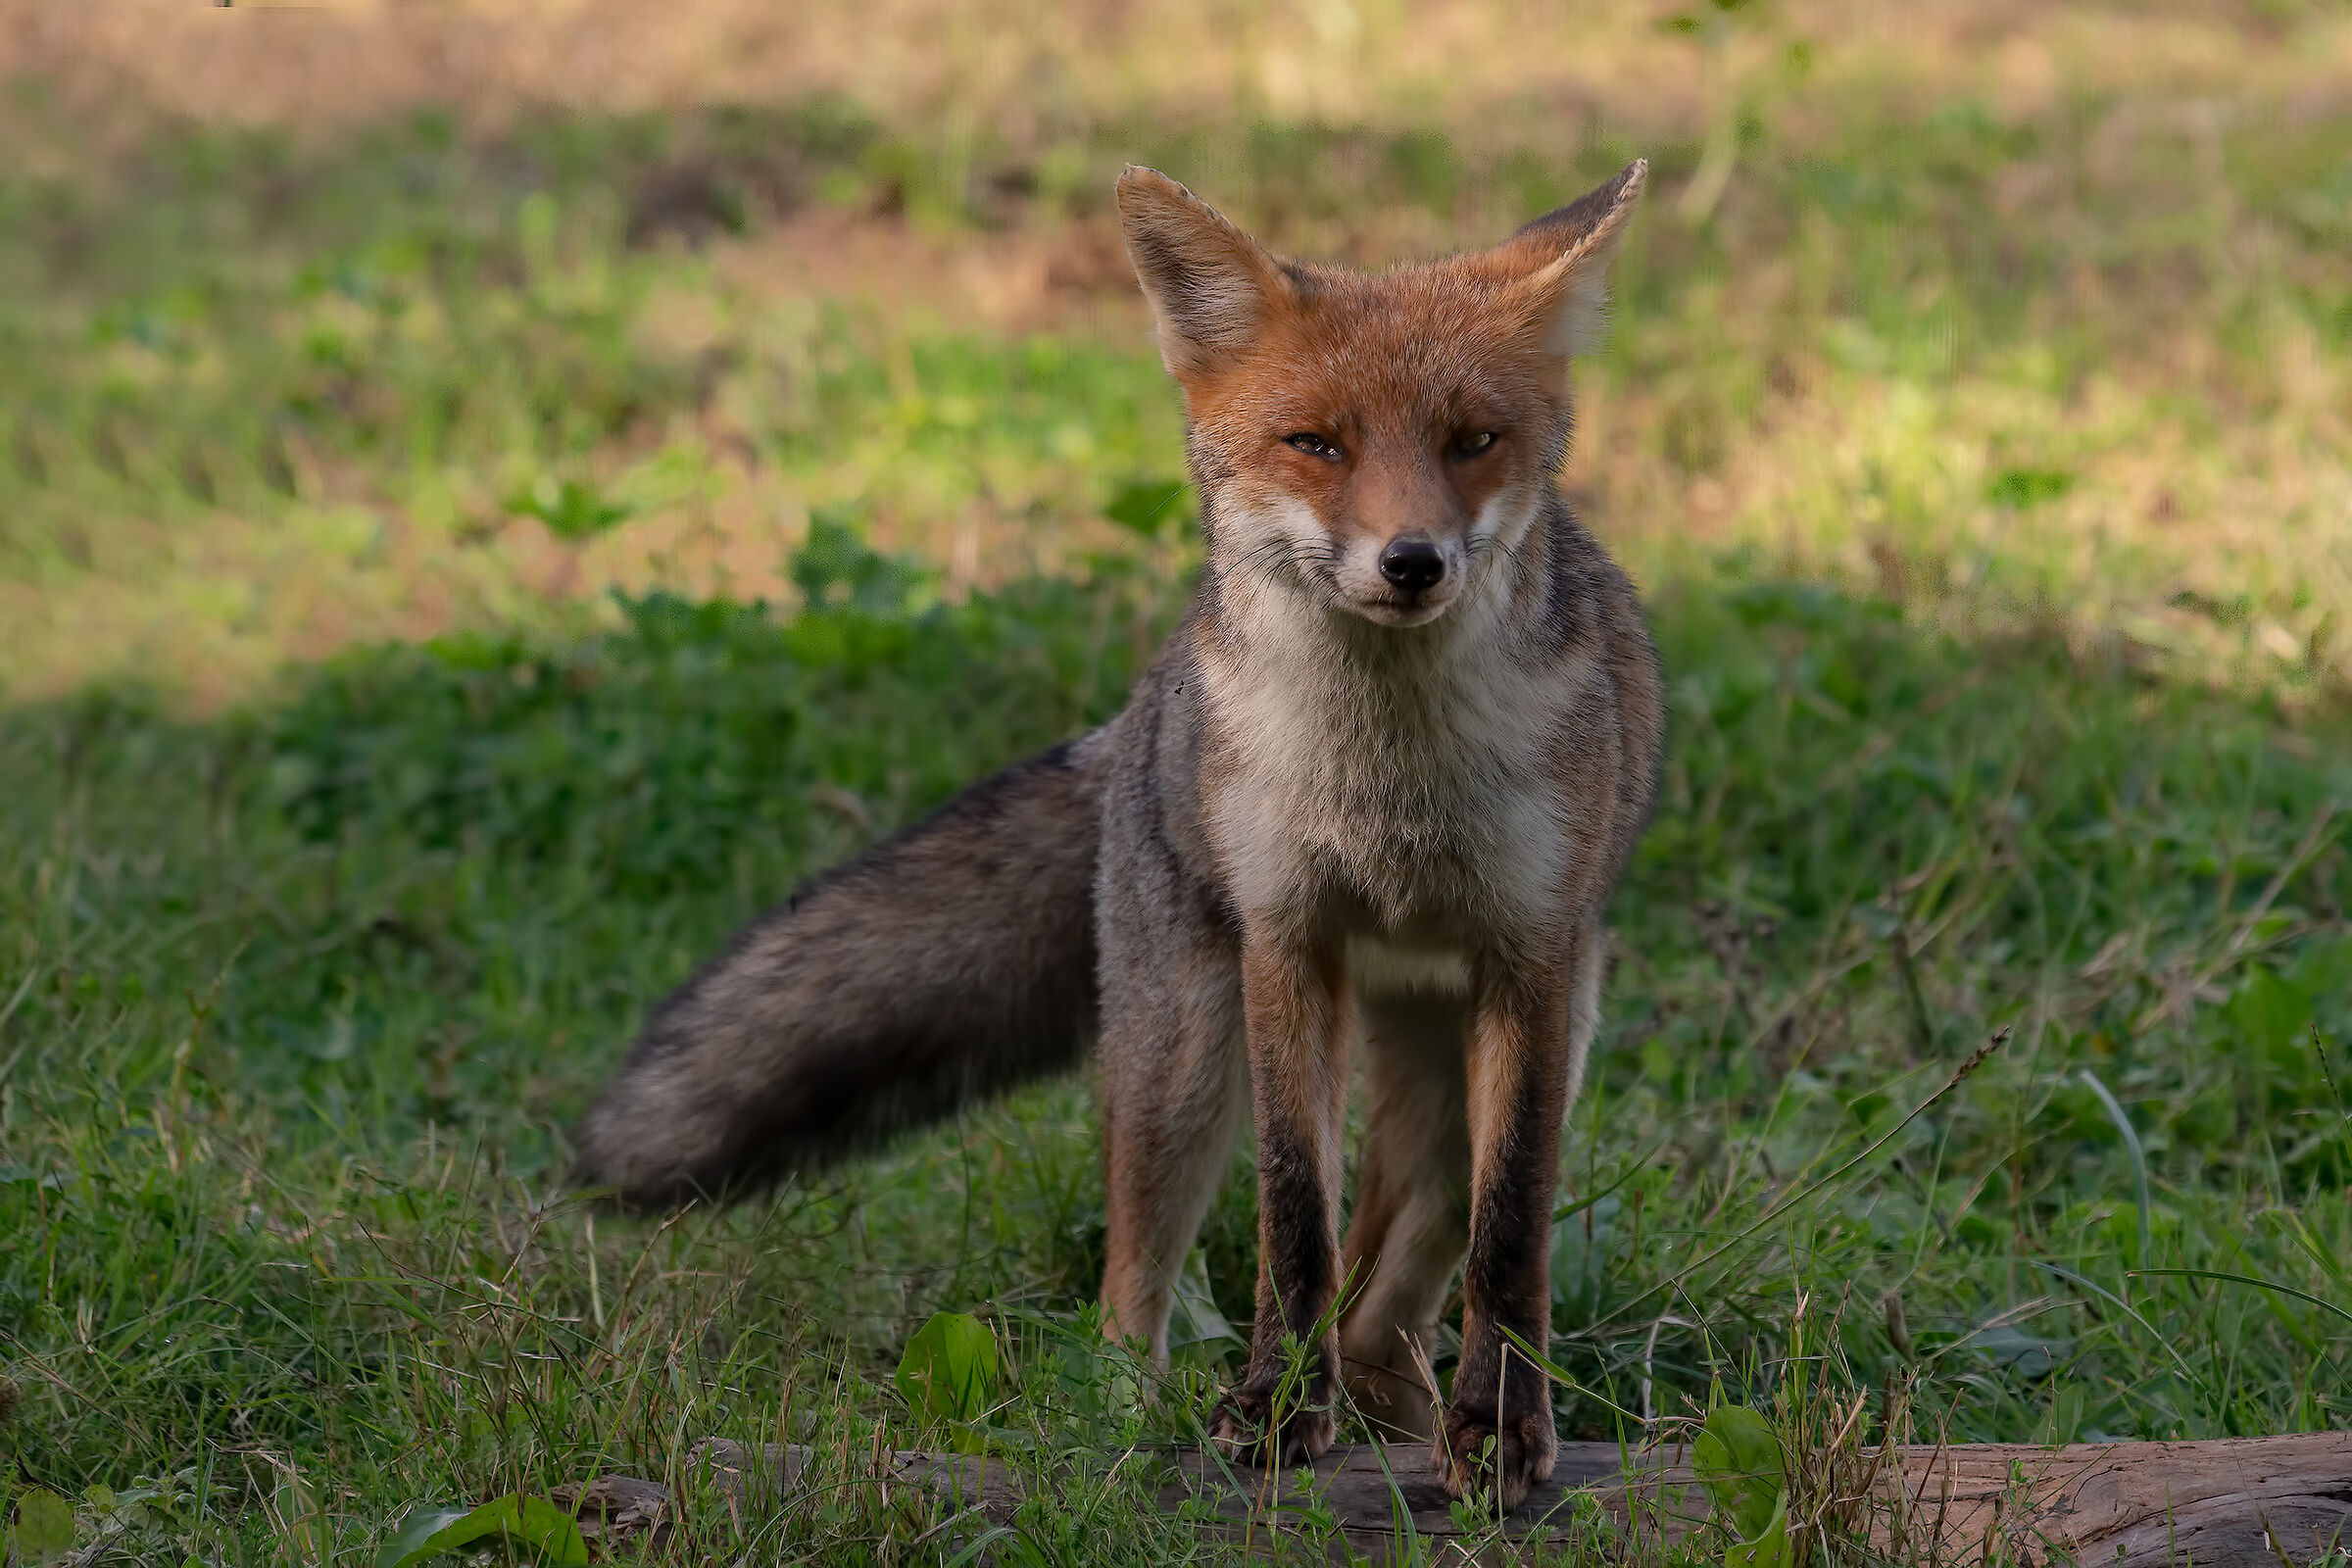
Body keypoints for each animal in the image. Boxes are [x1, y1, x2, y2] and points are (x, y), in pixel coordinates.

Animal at [575, 159, 1664, 1508]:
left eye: (1474, 441)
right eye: (1316, 443)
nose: (1412, 562)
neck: (1389, 789)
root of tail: (1138, 710)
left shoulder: (1530, 958)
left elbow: (1510, 1233)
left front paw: (1502, 1426)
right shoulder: (1287, 945)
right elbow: (1291, 1219)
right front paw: (1270, 1413)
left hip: (1504, 1057)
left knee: (1382, 1304)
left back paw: (1402, 1420)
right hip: (1181, 1063)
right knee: (1146, 1289)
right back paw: (1130, 1434)